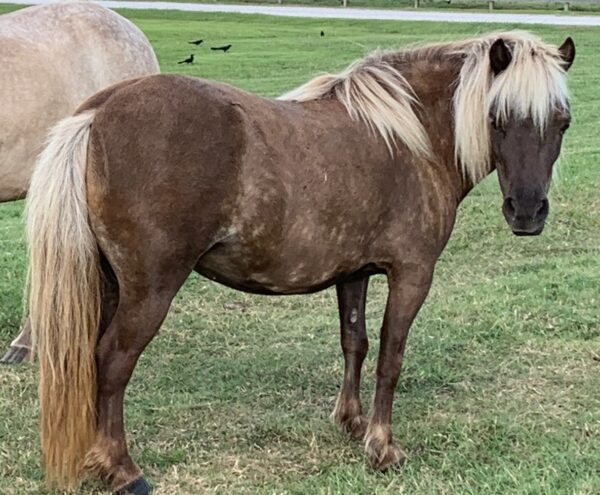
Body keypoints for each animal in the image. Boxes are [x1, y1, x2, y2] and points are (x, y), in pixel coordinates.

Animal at [25, 32, 576, 495]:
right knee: (111, 362)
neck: (410, 138)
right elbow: (391, 357)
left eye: (562, 122)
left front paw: (352, 423)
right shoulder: (412, 275)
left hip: (108, 284)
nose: (527, 212)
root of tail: (100, 111)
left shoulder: (354, 274)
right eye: (498, 119)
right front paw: (382, 446)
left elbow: (356, 343)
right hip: (148, 292)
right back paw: (122, 469)